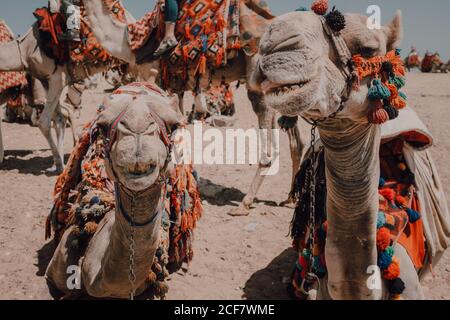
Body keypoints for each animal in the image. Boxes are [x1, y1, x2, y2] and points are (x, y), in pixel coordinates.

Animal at [81, 0, 306, 215]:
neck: (129, 42)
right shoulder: (174, 87)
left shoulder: (152, 74)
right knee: (297, 142)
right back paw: (290, 198)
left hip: (258, 76)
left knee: (270, 145)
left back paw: (245, 204)